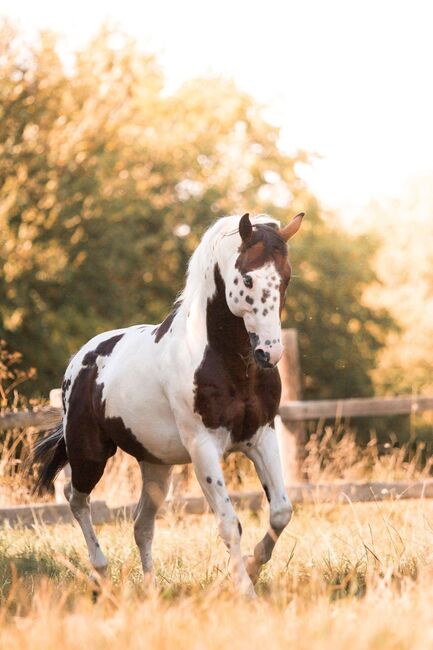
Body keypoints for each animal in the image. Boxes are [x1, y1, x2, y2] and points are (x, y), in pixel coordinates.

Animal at [32, 210, 304, 596]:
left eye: (286, 277)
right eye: (248, 278)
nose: (270, 352)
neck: (224, 362)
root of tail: (79, 361)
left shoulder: (261, 437)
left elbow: (281, 511)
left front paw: (252, 570)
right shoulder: (203, 447)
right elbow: (228, 522)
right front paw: (245, 591)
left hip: (156, 467)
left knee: (141, 524)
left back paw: (151, 590)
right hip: (90, 454)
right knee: (76, 498)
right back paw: (101, 573)